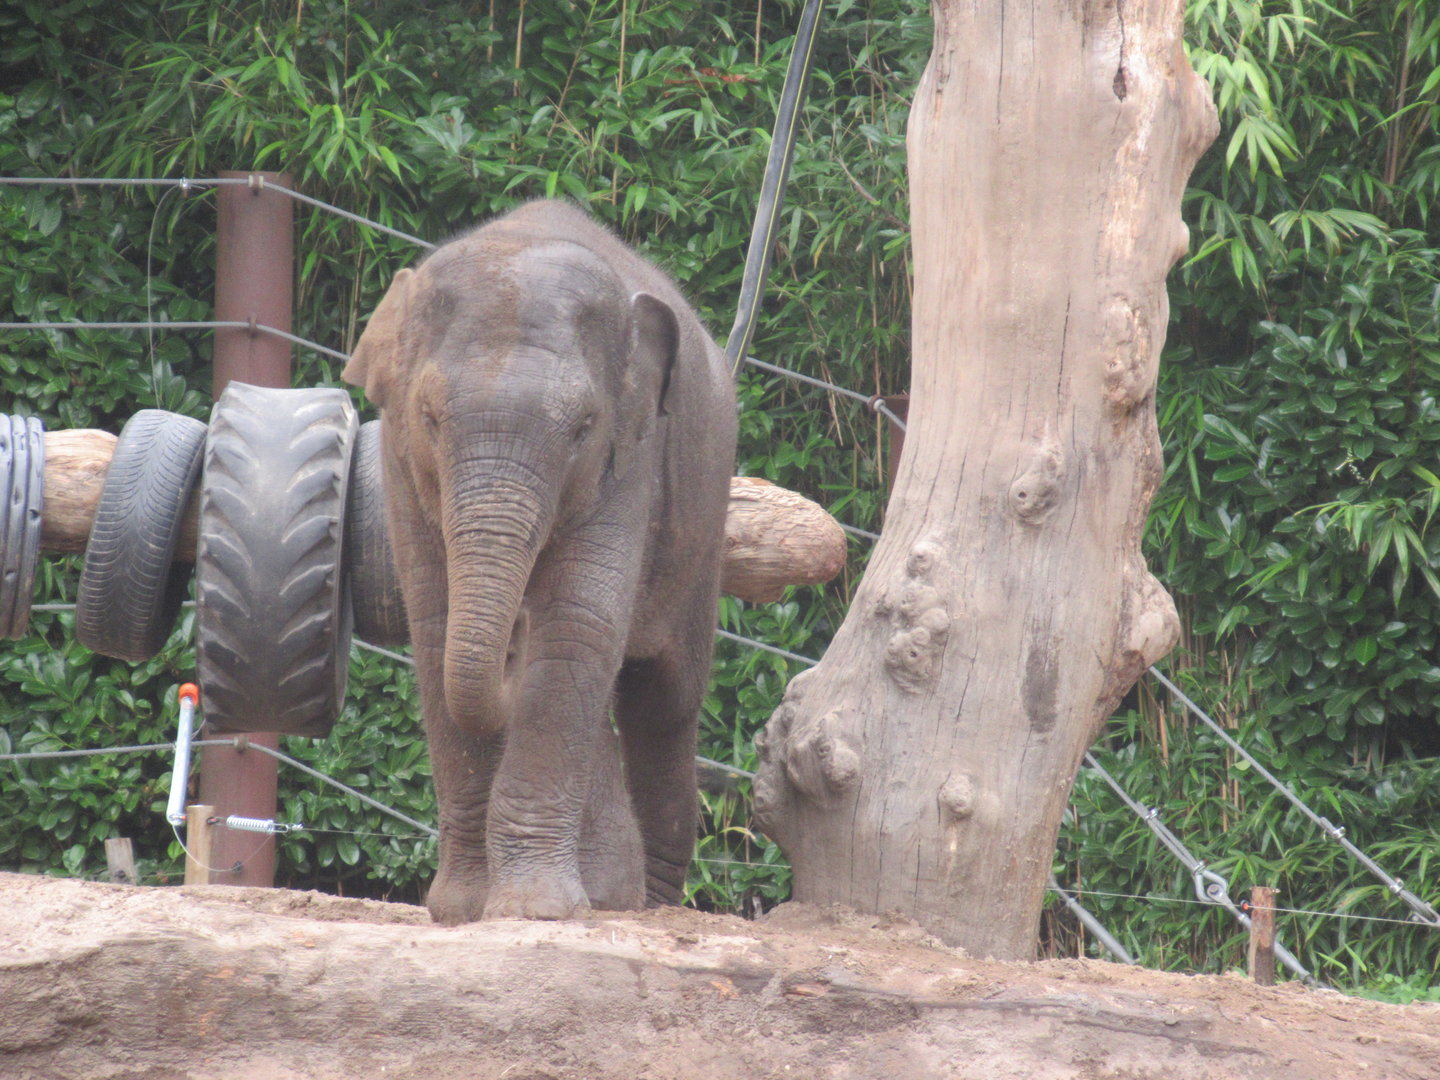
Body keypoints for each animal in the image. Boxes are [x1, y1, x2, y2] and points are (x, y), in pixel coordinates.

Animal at [343, 200, 738, 923]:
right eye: (430, 416)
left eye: (582, 428)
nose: (511, 645)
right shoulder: (400, 464)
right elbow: (436, 626)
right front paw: (464, 909)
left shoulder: (630, 457)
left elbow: (577, 622)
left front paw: (535, 911)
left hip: (703, 526)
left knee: (665, 701)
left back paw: (648, 903)